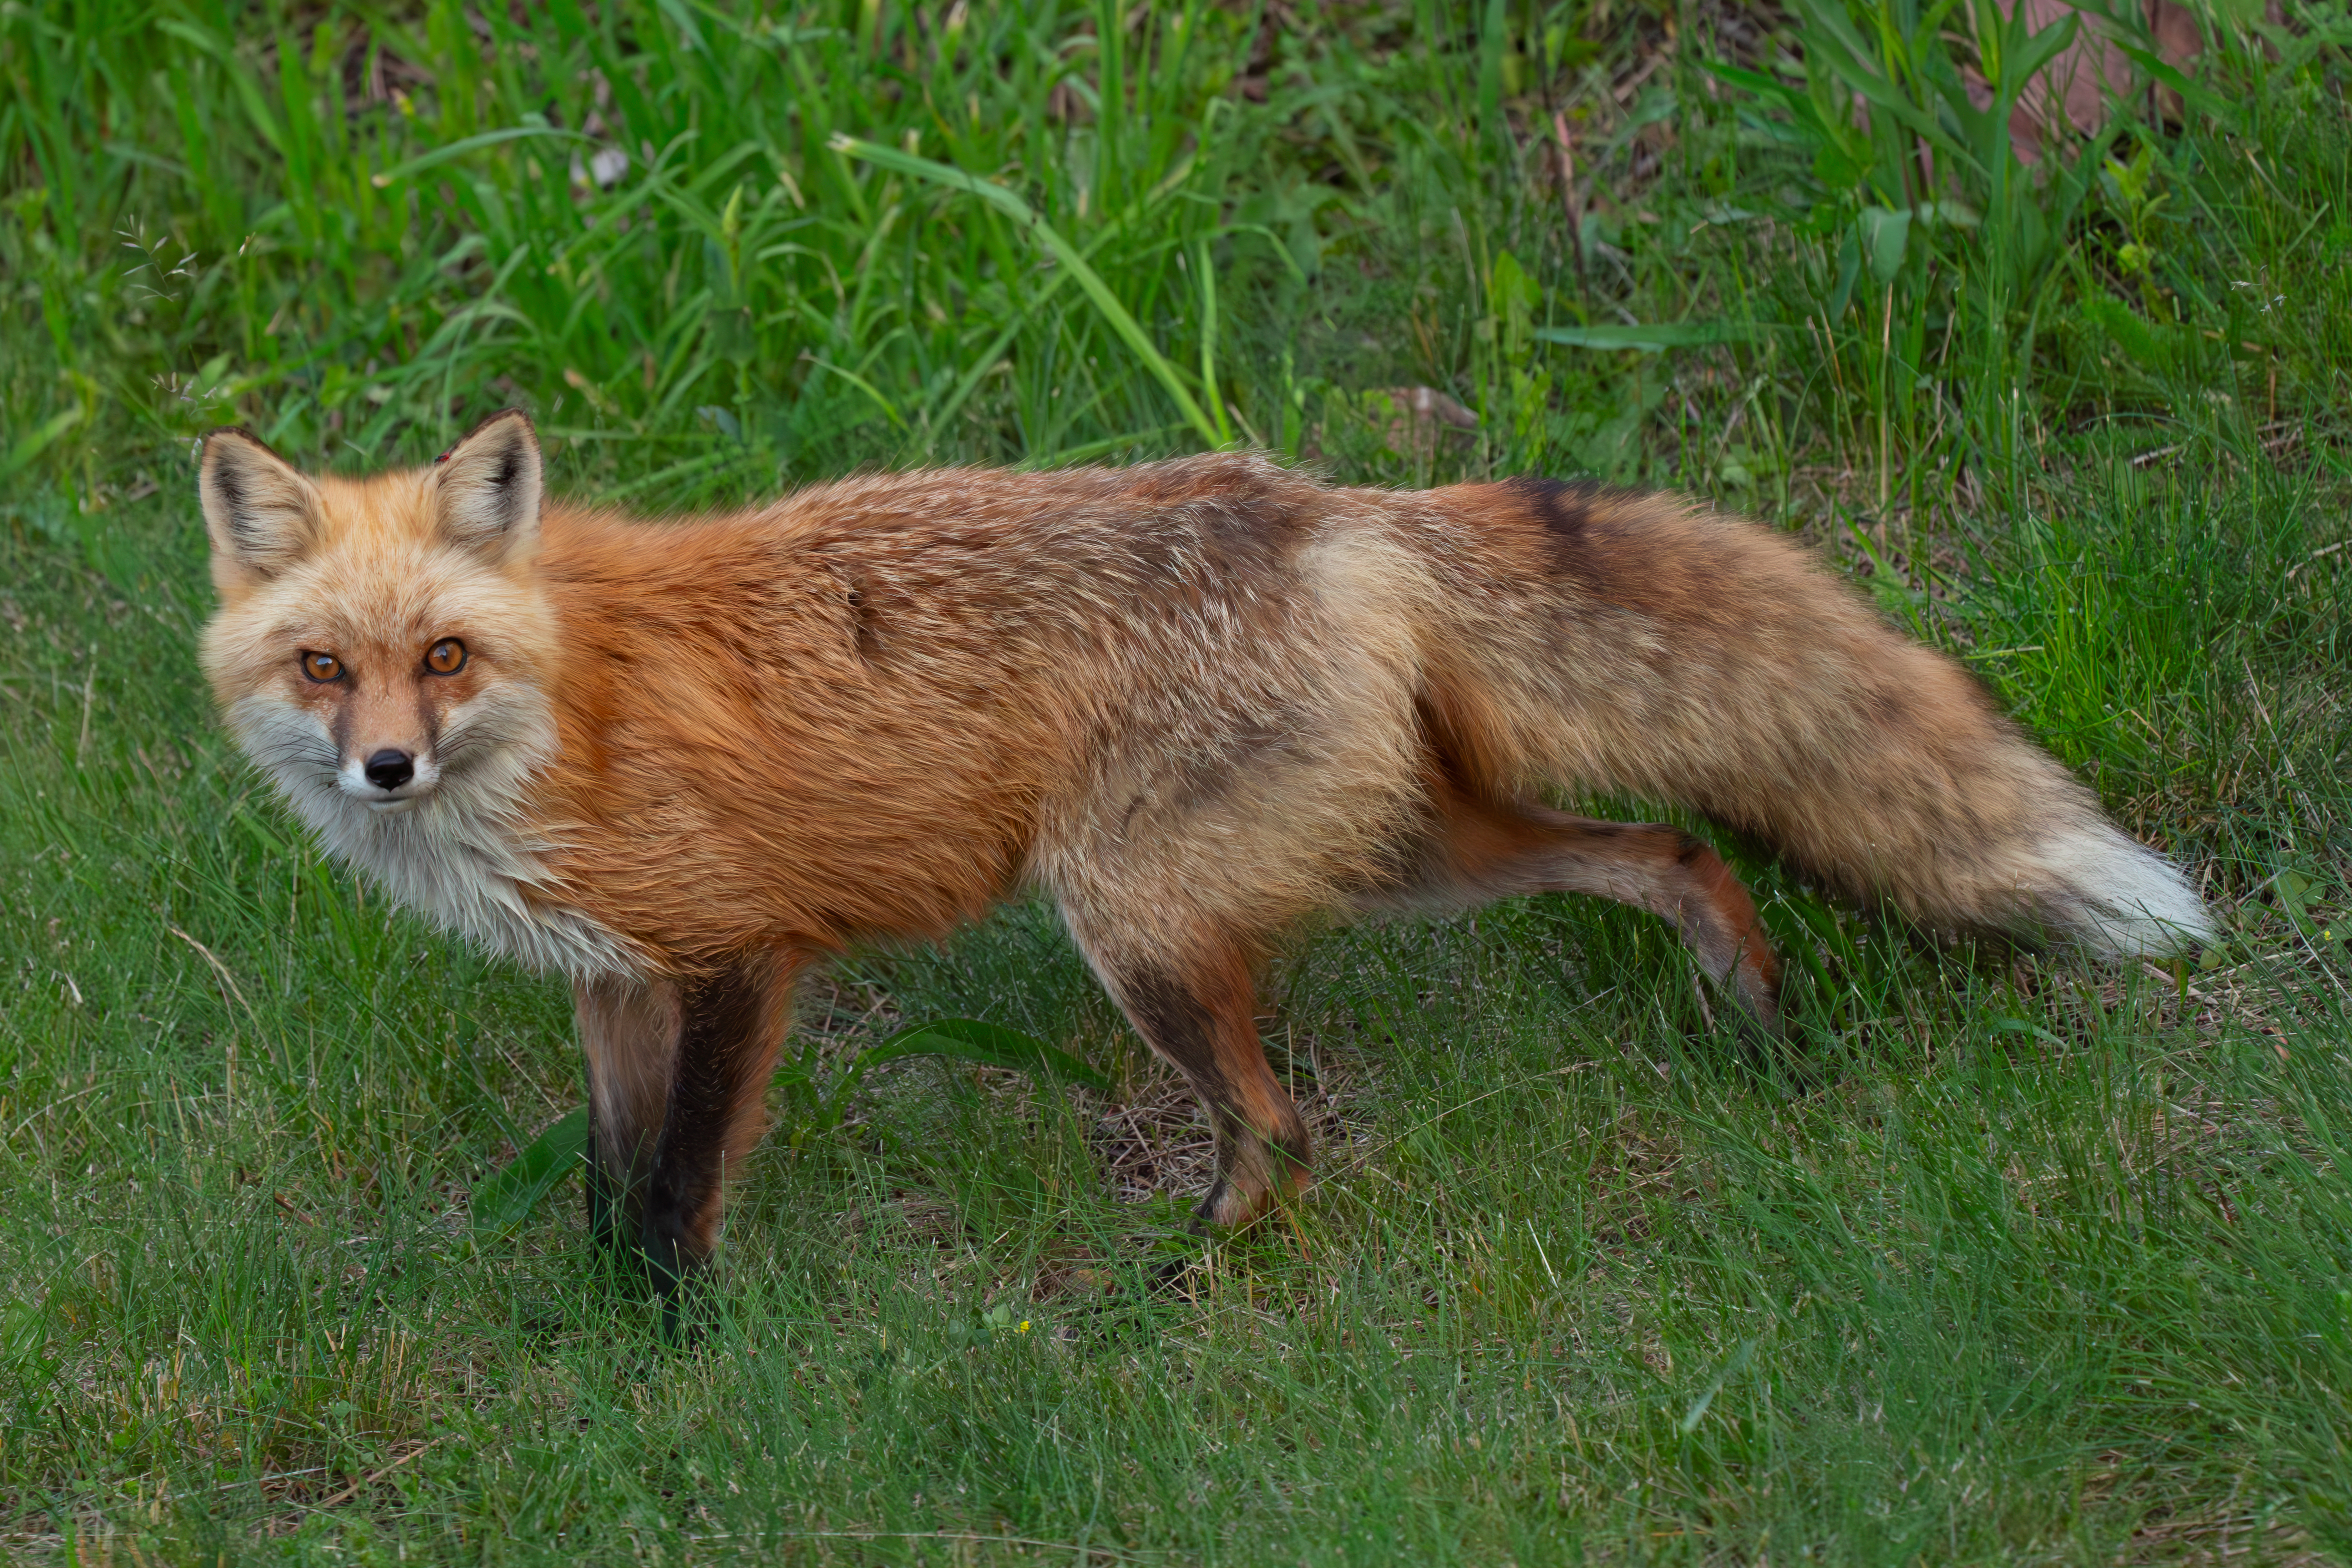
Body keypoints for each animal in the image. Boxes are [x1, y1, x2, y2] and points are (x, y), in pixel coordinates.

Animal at [197, 410, 2210, 1298]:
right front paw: (614, 1342)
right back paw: (1762, 1033)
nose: (383, 767)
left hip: (1136, 918)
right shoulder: (617, 982)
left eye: (444, 656)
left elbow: (682, 1191)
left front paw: (680, 1361)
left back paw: (1181, 1284)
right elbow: (615, 1191)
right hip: (1407, 851)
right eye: (323, 667)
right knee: (1669, 848)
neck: (559, 709)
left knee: (1283, 1127)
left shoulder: (732, 956)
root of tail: (1330, 510)